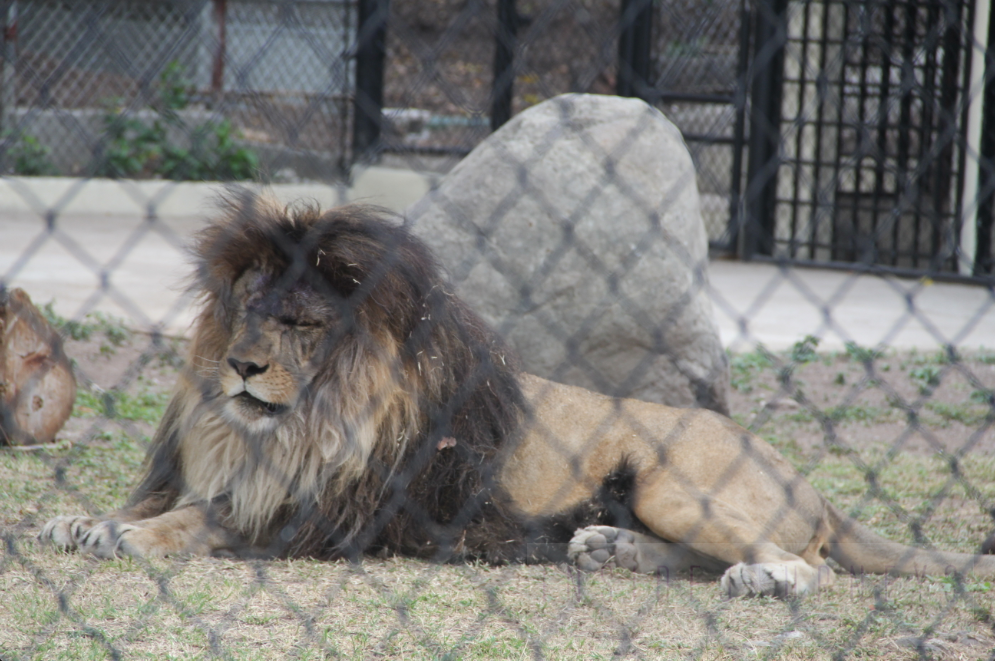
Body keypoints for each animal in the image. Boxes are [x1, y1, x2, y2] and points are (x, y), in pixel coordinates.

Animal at [41, 193, 995, 597]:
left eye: (304, 324)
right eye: (246, 307)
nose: (240, 365)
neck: (276, 426)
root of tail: (813, 483)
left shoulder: (321, 512)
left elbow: (195, 520)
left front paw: (123, 534)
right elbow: (159, 500)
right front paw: (75, 518)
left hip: (675, 479)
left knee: (812, 563)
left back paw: (764, 579)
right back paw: (615, 549)